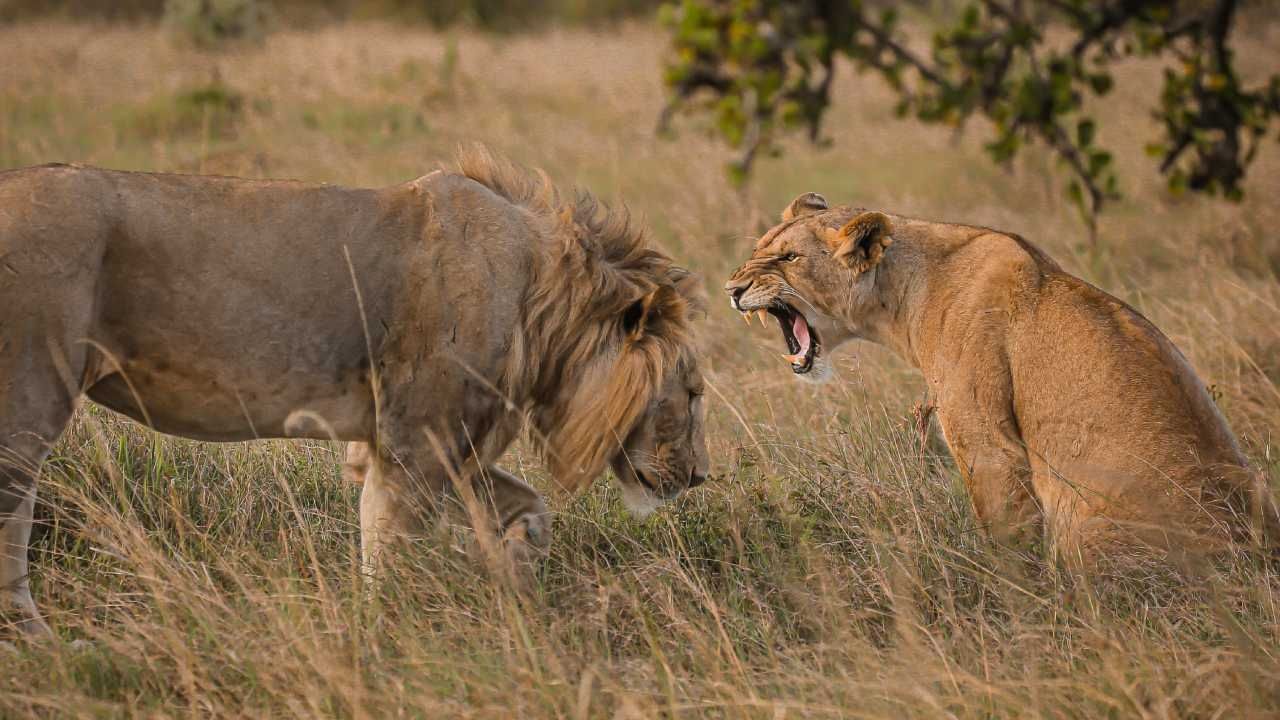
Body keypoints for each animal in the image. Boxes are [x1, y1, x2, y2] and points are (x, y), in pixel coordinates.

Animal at [0, 147, 711, 632]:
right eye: (695, 392)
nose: (703, 476)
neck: (541, 304)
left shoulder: (447, 445)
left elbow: (528, 508)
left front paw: (518, 586)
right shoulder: (414, 441)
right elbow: (389, 548)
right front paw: (388, 636)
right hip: (30, 395)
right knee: (12, 518)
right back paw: (38, 641)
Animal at [727, 193, 1274, 563]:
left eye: (789, 258)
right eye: (760, 249)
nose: (732, 289)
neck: (903, 293)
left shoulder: (987, 443)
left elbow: (1004, 535)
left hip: (1083, 522)